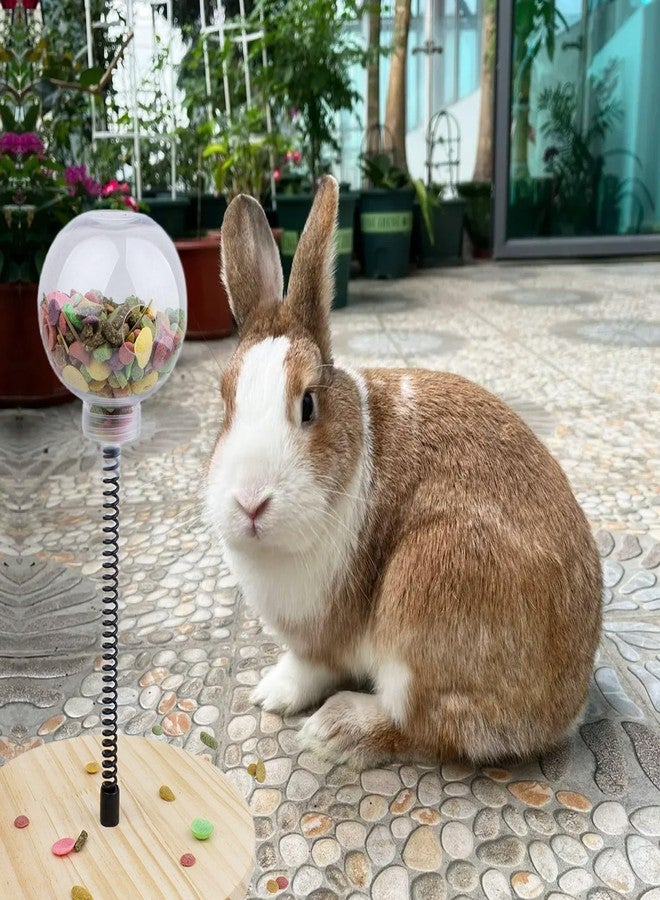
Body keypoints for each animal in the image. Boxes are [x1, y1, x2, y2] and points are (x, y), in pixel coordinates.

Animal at [206, 175, 602, 768]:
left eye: (308, 404)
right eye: (224, 402)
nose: (250, 502)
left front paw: (275, 696)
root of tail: (565, 708)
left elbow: (311, 667)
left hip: (424, 596)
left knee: (426, 726)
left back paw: (336, 729)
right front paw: (268, 694)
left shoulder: (324, 641)